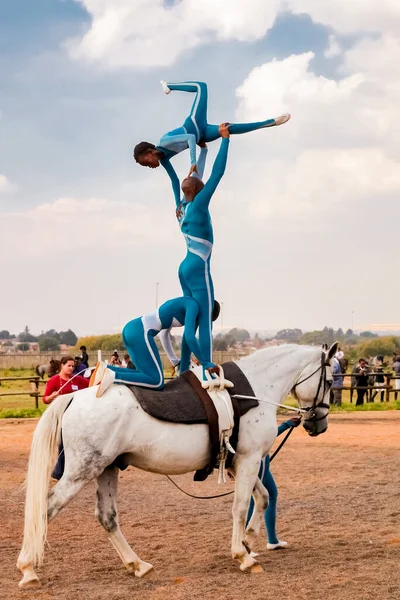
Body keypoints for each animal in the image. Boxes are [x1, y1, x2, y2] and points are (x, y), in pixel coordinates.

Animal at [16, 340, 338, 588]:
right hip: (81, 472)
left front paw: (248, 539)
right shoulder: (249, 459)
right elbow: (240, 506)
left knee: (107, 517)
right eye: (329, 381)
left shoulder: (240, 462)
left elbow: (263, 497)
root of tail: (74, 397)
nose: (319, 425)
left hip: (106, 469)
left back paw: (137, 564)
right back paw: (28, 569)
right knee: (45, 508)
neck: (256, 389)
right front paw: (242, 555)